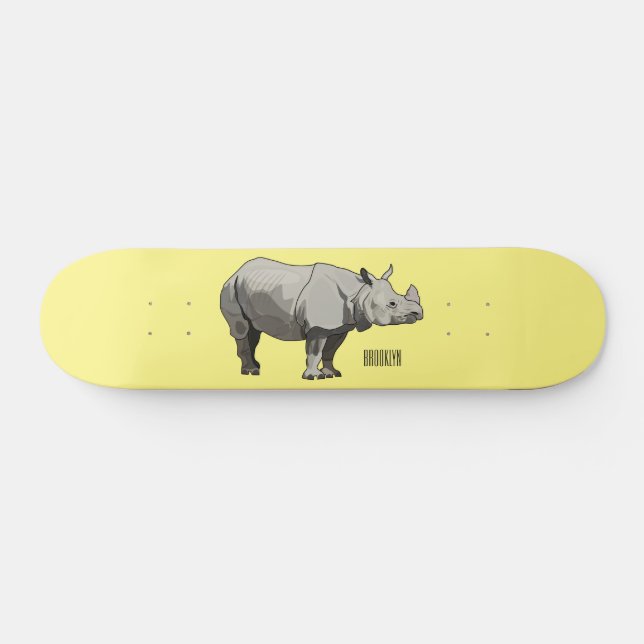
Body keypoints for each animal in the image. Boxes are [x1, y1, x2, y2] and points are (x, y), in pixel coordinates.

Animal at [220, 258, 423, 380]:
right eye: (392, 304)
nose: (418, 313)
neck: (359, 293)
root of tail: (237, 270)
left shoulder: (341, 326)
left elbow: (330, 351)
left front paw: (332, 373)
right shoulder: (318, 326)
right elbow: (315, 351)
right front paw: (313, 377)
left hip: (245, 288)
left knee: (254, 330)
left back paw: (256, 366)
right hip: (230, 288)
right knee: (241, 328)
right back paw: (251, 371)